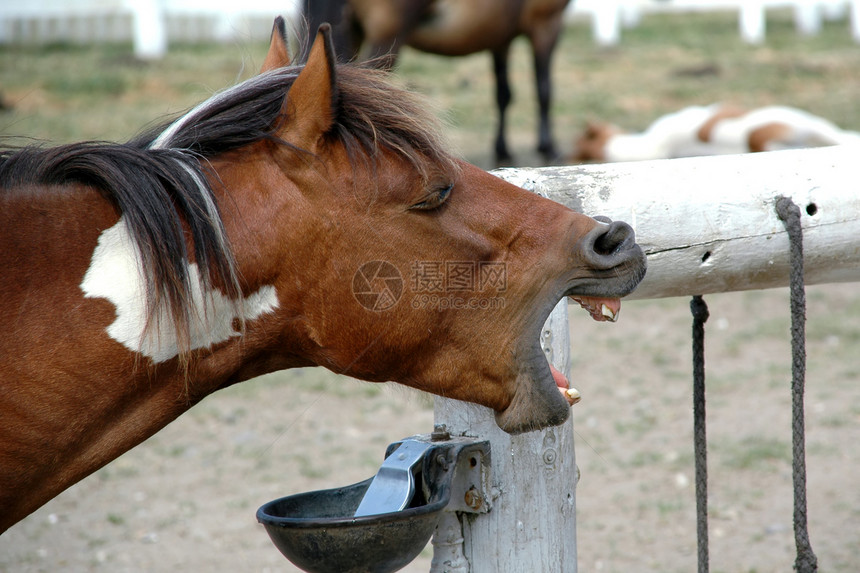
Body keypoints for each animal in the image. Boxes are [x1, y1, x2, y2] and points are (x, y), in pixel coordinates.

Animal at [302, 0, 572, 163]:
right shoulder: (546, 23)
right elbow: (544, 89)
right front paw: (548, 148)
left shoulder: (500, 37)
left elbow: (503, 95)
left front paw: (502, 150)